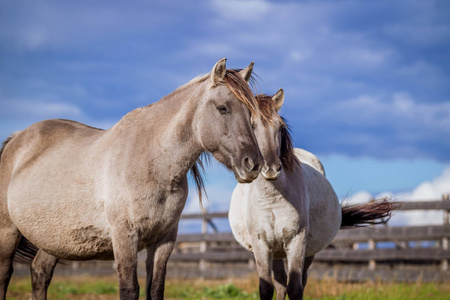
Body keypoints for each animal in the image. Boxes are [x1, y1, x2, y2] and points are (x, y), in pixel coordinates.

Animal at [0, 59, 264, 300]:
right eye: (223, 108)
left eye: (250, 112)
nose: (253, 163)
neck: (153, 161)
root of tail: (16, 139)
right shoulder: (124, 237)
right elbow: (129, 290)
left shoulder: (164, 240)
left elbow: (155, 289)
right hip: (8, 232)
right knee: (5, 274)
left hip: (54, 240)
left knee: (40, 273)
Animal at [230, 92, 396, 300]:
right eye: (251, 126)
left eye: (280, 126)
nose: (271, 168)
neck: (273, 198)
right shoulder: (261, 244)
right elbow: (266, 288)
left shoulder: (297, 241)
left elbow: (295, 287)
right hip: (276, 251)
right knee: (280, 284)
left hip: (308, 251)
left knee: (299, 280)